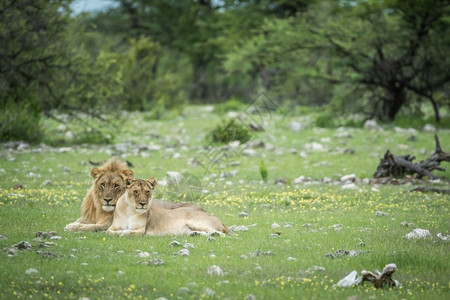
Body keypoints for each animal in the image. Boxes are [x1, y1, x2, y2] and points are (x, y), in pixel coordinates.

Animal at [64, 158, 202, 233]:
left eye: (116, 185)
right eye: (102, 184)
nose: (107, 200)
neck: (101, 211)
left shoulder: (108, 224)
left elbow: (92, 227)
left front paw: (72, 227)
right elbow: (83, 222)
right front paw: (73, 224)